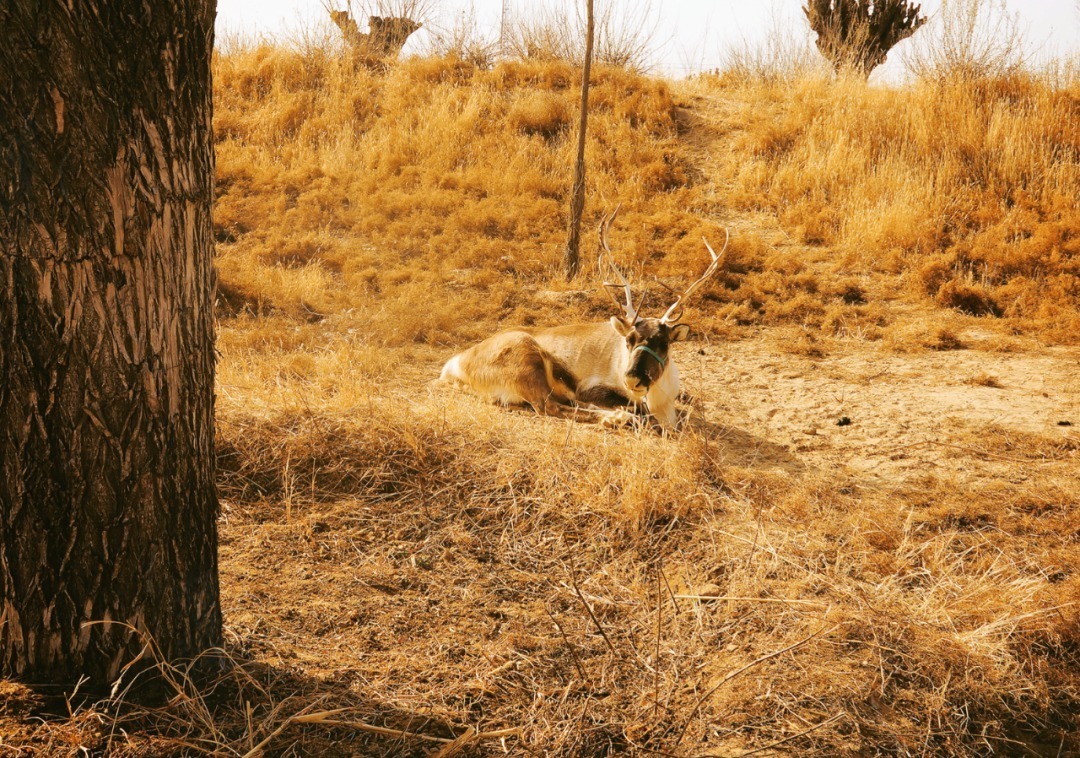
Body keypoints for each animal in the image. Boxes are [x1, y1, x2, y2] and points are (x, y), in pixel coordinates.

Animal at [436, 207, 725, 429]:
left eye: (663, 342)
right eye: (629, 339)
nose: (633, 379)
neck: (661, 401)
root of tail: (454, 365)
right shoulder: (594, 388)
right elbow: (634, 409)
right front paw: (627, 415)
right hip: (527, 362)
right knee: (551, 406)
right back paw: (617, 418)